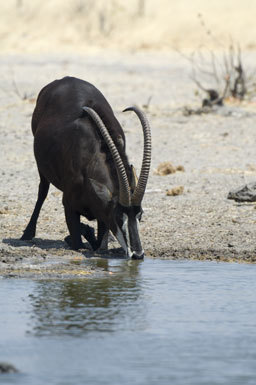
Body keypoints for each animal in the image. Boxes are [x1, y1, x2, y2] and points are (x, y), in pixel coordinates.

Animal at [21, 76, 152, 258]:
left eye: (140, 214)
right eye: (119, 216)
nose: (138, 254)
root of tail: (64, 79)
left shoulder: (103, 213)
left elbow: (100, 245)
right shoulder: (69, 207)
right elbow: (77, 243)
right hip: (41, 165)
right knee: (42, 191)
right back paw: (27, 233)